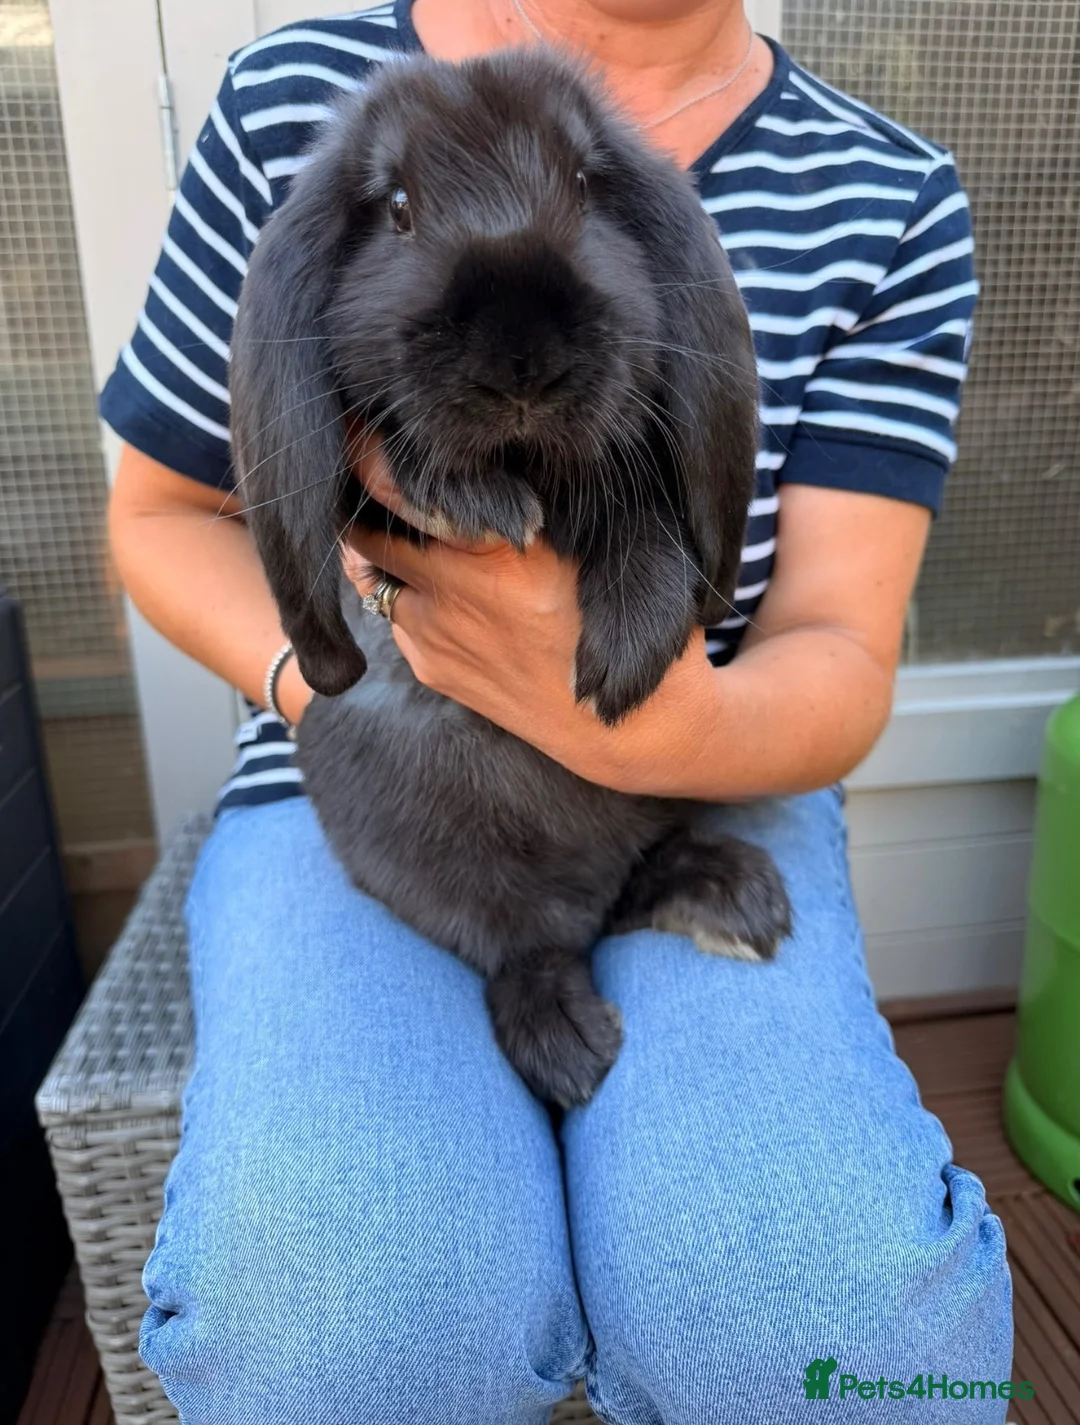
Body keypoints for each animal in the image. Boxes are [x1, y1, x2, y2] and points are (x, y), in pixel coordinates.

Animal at [230, 47, 792, 1108]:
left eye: (583, 184)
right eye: (397, 207)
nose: (522, 355)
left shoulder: (625, 474)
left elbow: (643, 521)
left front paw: (625, 660)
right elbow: (401, 472)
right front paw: (475, 499)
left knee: (633, 884)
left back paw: (736, 898)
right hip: (443, 864)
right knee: (521, 946)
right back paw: (569, 1041)